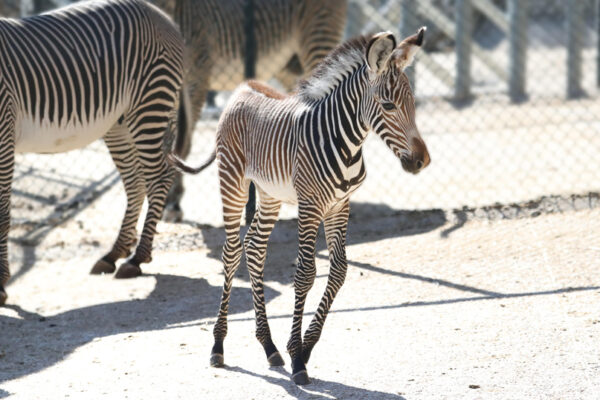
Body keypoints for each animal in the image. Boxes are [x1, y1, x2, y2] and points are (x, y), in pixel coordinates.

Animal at [0, 0, 185, 304]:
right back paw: (114, 254)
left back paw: (137, 258)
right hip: (118, 124)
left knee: (159, 178)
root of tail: (158, 12)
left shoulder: (4, 134)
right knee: (136, 183)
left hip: (149, 104)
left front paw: (2, 284)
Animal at [169, 28, 432, 384]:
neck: (347, 143)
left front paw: (304, 349)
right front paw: (297, 357)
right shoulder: (309, 204)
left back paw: (268, 346)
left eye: (413, 104)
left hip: (269, 194)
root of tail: (243, 87)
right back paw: (218, 346)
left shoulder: (339, 205)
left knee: (255, 249)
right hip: (232, 183)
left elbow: (339, 271)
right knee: (231, 252)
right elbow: (306, 273)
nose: (422, 161)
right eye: (389, 105)